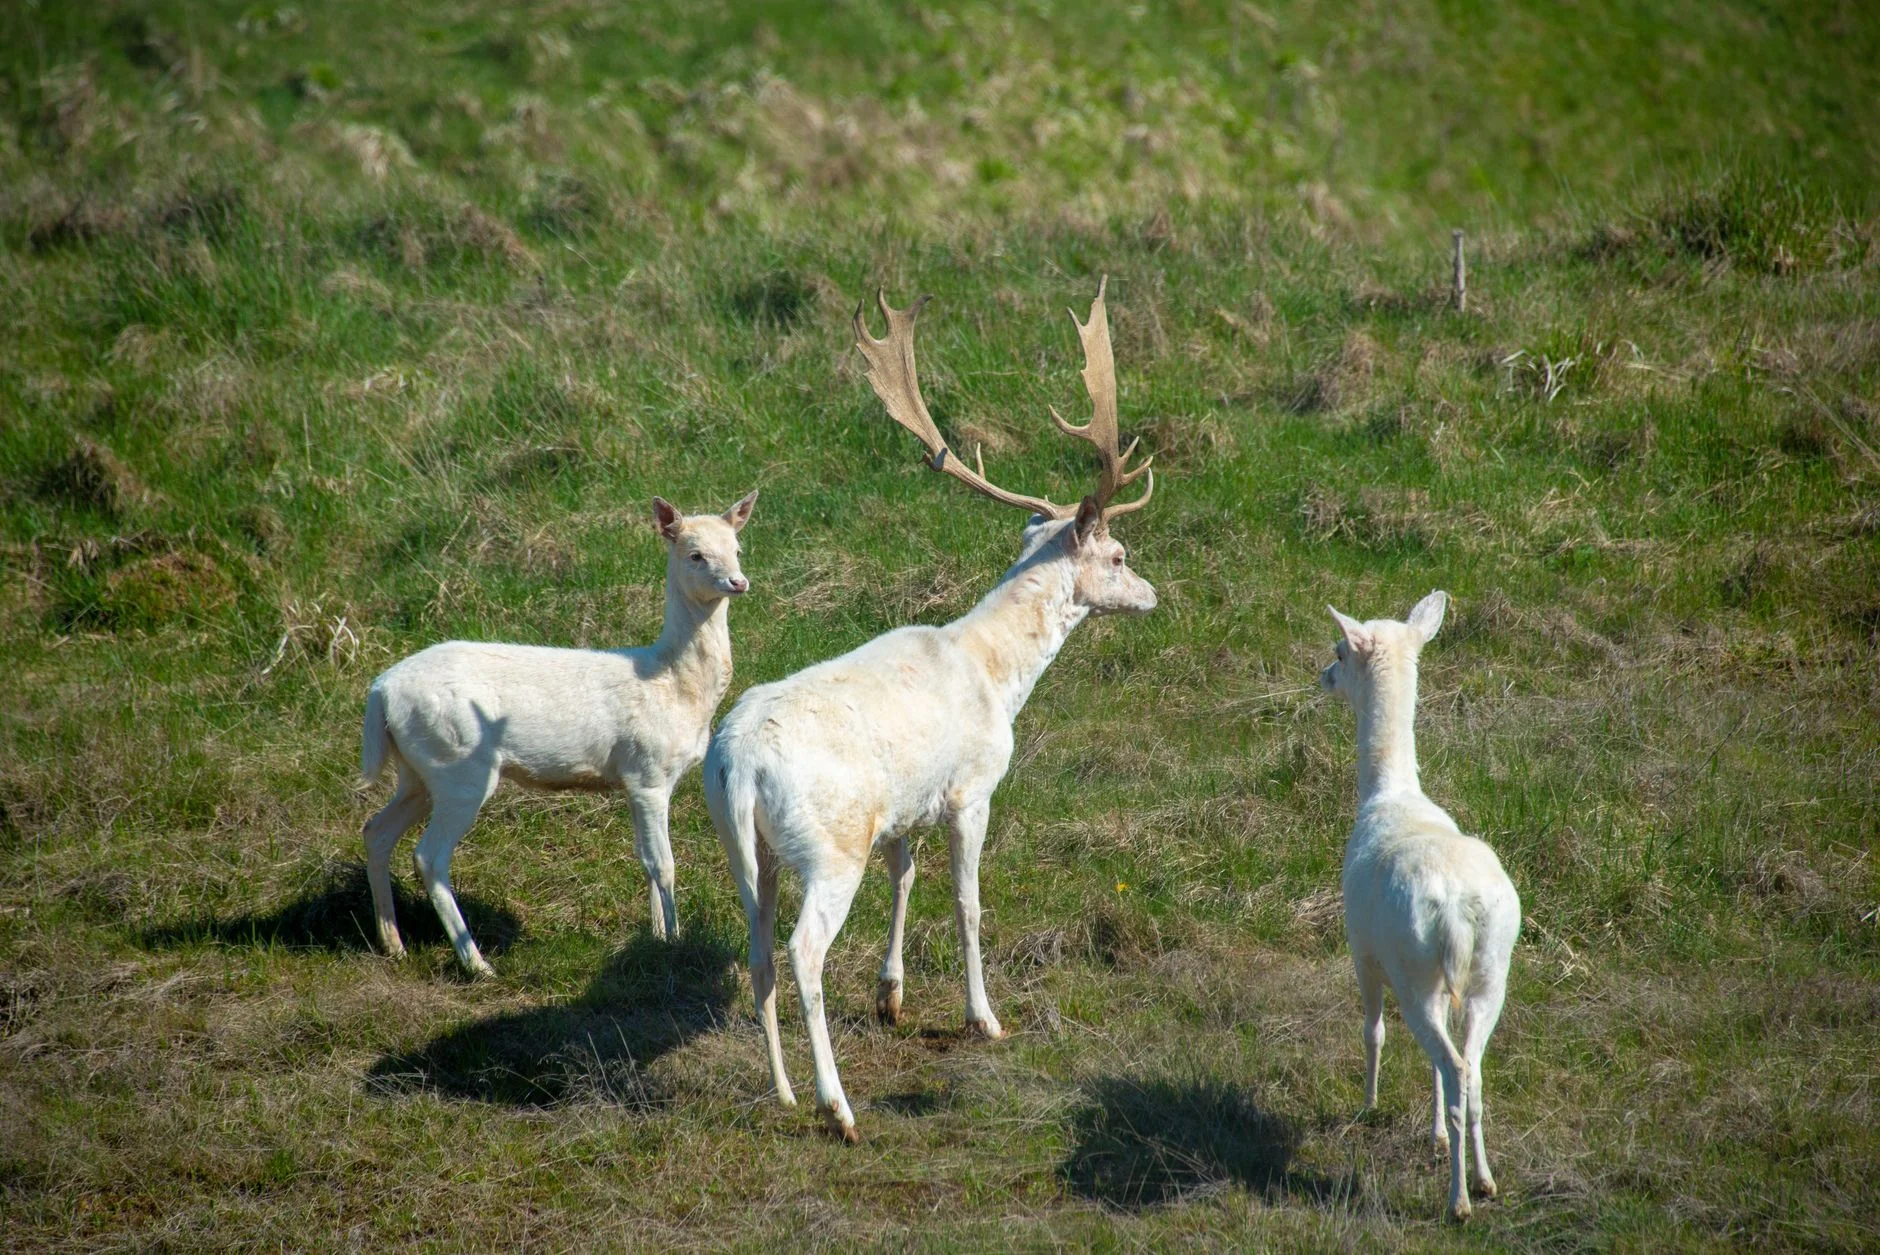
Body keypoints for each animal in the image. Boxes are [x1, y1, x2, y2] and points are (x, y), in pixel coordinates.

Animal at [359, 491, 758, 977]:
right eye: (696, 554)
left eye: (737, 548)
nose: (738, 582)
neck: (676, 688)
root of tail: (380, 691)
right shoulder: (647, 770)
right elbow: (664, 865)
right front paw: (676, 943)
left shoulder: (632, 779)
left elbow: (645, 860)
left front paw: (657, 938)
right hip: (459, 766)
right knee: (429, 855)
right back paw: (477, 963)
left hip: (417, 770)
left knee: (376, 830)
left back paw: (392, 943)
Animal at [704, 278, 1157, 1141]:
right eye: (1118, 555)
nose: (1152, 593)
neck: (996, 674)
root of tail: (736, 761)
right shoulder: (971, 788)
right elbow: (967, 901)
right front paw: (986, 1017)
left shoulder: (904, 807)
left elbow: (906, 877)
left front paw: (891, 996)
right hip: (827, 844)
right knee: (803, 952)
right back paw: (837, 1105)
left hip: (750, 850)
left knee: (756, 947)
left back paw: (782, 1091)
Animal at [1318, 591, 1522, 1222]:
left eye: (1340, 649)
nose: (1323, 675)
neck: (1390, 795)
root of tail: (1458, 910)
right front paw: (1431, 1137)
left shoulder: (1360, 950)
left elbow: (1372, 1031)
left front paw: (1367, 1104)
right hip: (1489, 973)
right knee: (1471, 1071)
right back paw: (1484, 1180)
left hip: (1412, 973)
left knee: (1453, 1066)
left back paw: (1458, 1201)